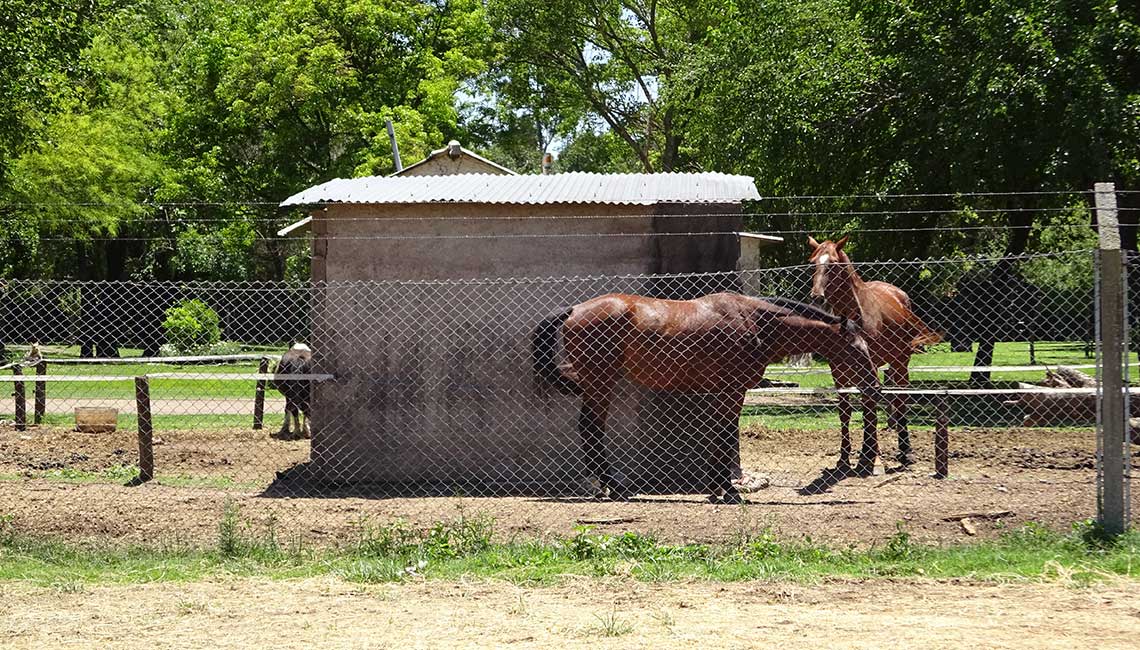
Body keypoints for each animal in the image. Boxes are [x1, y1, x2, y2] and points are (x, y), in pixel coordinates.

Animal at [528, 291, 884, 501]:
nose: (874, 387)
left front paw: (716, 487)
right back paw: (611, 487)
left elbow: (716, 434)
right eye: (856, 349)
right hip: (600, 385)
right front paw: (727, 490)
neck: (754, 324)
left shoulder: (721, 392)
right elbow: (725, 435)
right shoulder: (733, 391)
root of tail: (574, 310)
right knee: (590, 429)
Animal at [807, 234, 939, 467]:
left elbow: (870, 407)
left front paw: (871, 455)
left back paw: (905, 451)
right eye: (813, 263)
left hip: (900, 362)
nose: (817, 297)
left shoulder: (869, 367)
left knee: (900, 400)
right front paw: (844, 457)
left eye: (833, 264)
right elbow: (845, 411)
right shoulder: (838, 371)